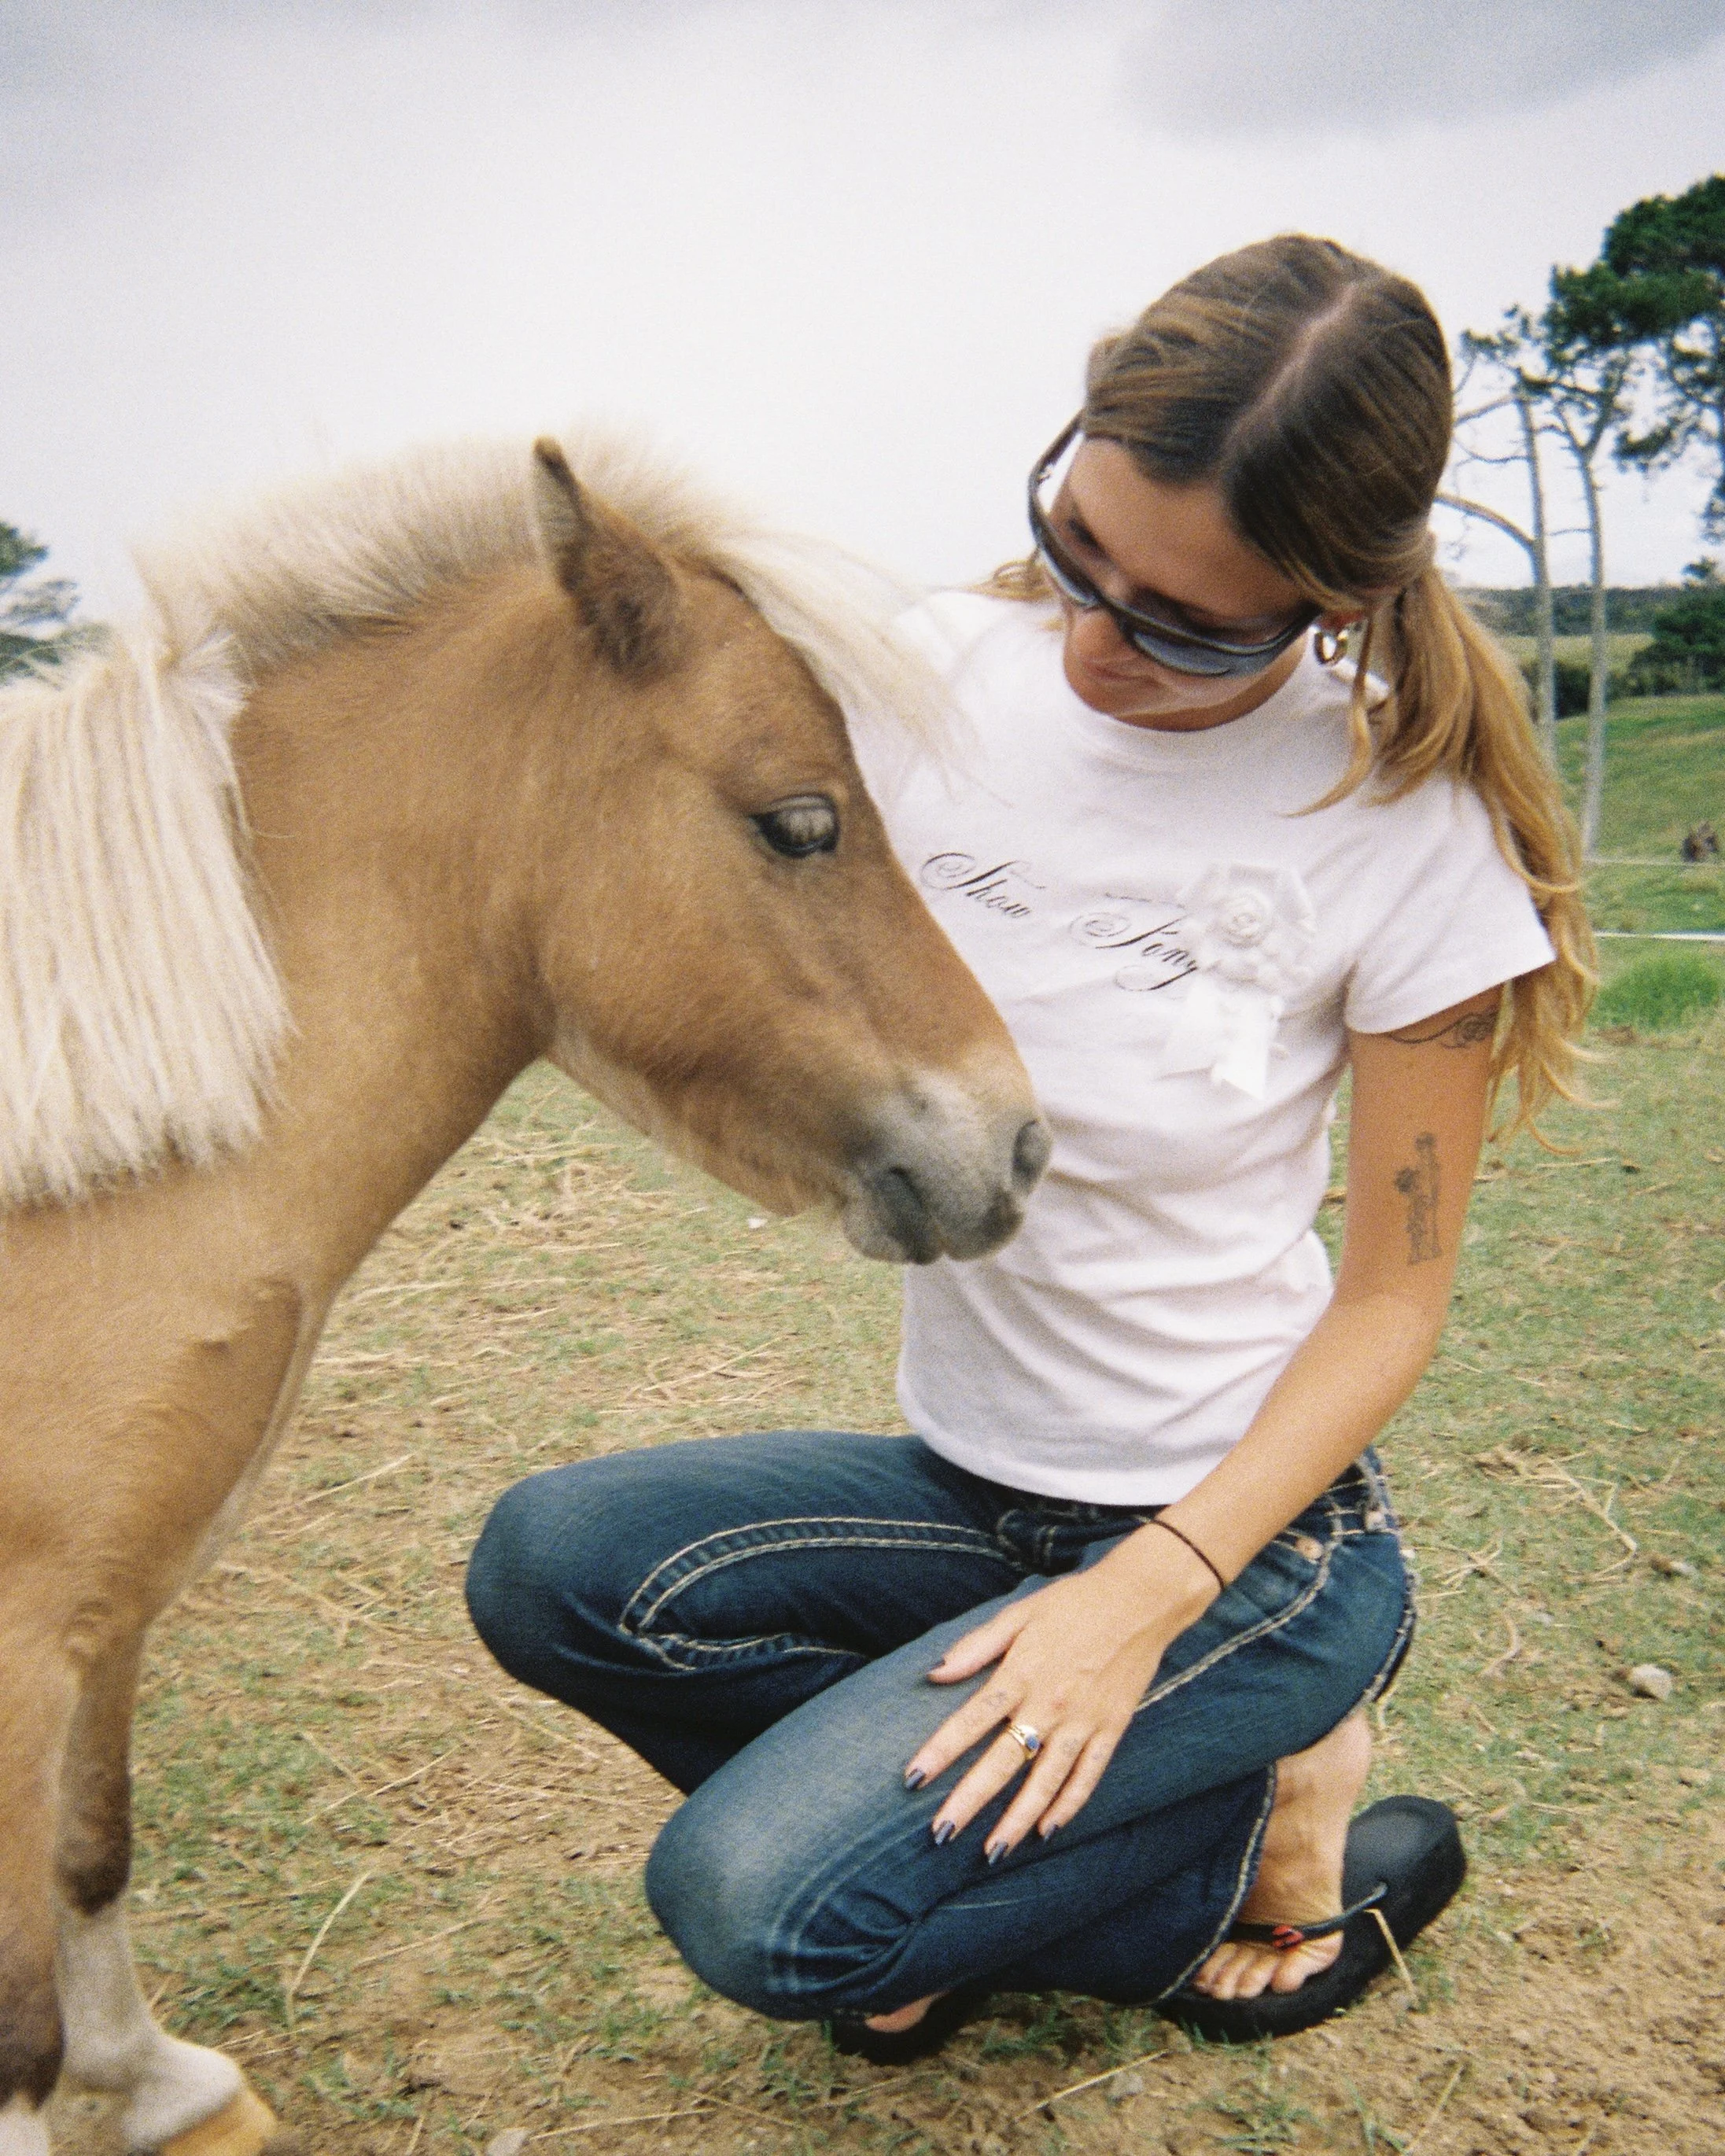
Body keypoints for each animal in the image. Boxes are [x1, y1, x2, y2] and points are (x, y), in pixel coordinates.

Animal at [0, 431, 1049, 2156]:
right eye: (801, 820)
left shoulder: (103, 1611)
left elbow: (96, 1848)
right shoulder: (29, 1642)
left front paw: (162, 2088)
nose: (1017, 1140)